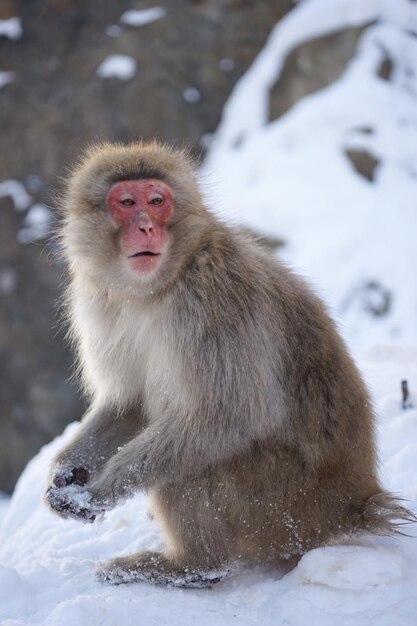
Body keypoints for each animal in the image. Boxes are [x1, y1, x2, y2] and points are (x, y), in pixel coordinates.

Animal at [45, 140, 410, 584]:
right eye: (127, 202)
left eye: (157, 201)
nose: (146, 226)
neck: (156, 289)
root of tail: (352, 505)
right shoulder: (103, 304)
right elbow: (128, 403)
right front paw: (64, 476)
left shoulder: (213, 297)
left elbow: (234, 413)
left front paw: (103, 489)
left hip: (276, 504)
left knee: (197, 446)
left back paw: (190, 567)